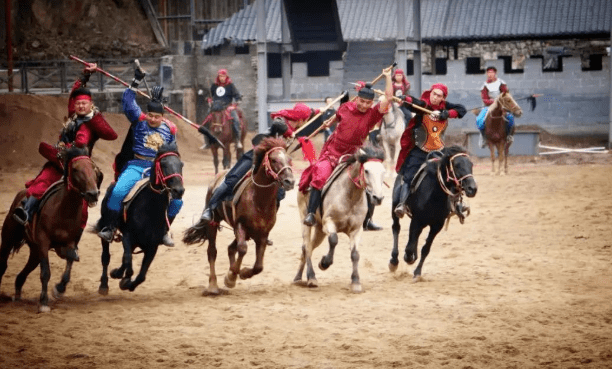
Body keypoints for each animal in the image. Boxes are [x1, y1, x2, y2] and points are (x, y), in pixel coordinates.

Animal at [0, 145, 101, 312]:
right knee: (3, 263)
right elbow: (45, 273)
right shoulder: (43, 241)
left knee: (23, 273)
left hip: (35, 251)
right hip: (9, 237)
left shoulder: (69, 244)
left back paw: (18, 293)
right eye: (75, 169)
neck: (63, 210)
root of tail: (21, 194)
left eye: (94, 169)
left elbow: (68, 266)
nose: (93, 194)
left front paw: (59, 289)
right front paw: (43, 302)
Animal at [94, 142, 185, 294]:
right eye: (163, 164)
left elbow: (141, 275)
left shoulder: (152, 246)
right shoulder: (127, 236)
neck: (150, 210)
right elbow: (128, 262)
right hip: (105, 227)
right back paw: (104, 285)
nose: (179, 190)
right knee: (106, 257)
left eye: (181, 165)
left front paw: (126, 282)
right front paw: (123, 279)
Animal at [182, 137, 294, 294]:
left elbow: (258, 266)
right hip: (213, 223)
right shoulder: (240, 225)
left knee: (230, 248)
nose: (290, 181)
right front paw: (230, 277)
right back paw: (213, 285)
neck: (259, 199)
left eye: (289, 159)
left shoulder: (262, 233)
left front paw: (242, 273)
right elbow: (242, 249)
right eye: (273, 160)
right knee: (212, 252)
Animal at [292, 145, 388, 292]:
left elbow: (355, 254)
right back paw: (311, 277)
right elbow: (334, 239)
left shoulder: (356, 229)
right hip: (305, 219)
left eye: (383, 172)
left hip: (319, 230)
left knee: (309, 247)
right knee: (307, 246)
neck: (350, 196)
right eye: (366, 171)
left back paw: (298, 276)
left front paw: (356, 282)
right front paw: (324, 263)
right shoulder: (329, 222)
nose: (378, 198)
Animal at [390, 145, 480, 278]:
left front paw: (417, 272)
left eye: (471, 164)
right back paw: (394, 261)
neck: (435, 194)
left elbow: (426, 248)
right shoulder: (417, 220)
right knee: (396, 228)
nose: (472, 188)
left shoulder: (437, 225)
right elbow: (409, 247)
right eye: (456, 165)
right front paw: (408, 258)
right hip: (395, 207)